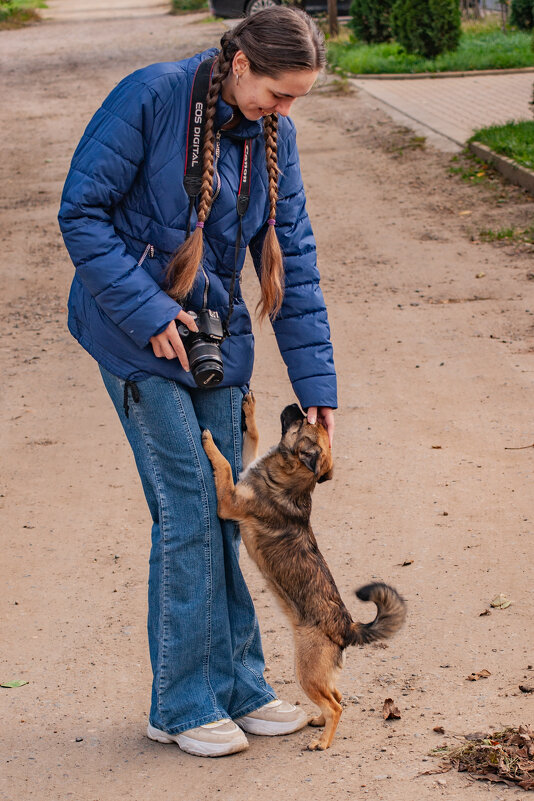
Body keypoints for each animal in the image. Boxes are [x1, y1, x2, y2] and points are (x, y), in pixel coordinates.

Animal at [203, 396, 408, 752]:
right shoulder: (246, 465)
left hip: (306, 672)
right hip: (319, 675)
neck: (294, 481)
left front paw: (210, 444)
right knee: (337, 695)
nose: (297, 405)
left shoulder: (228, 501)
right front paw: (249, 409)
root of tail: (347, 627)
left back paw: (323, 741)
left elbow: (225, 465)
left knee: (337, 705)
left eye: (302, 423)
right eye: (311, 422)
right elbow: (252, 438)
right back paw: (318, 722)